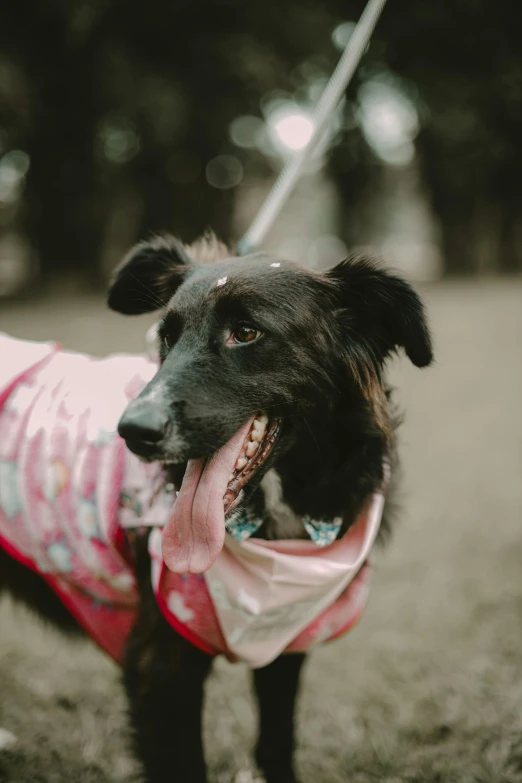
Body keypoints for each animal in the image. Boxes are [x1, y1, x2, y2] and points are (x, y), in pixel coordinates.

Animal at [0, 234, 430, 783]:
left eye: (246, 333)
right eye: (166, 337)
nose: (133, 431)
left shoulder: (282, 643)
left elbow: (275, 746)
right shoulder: (161, 669)